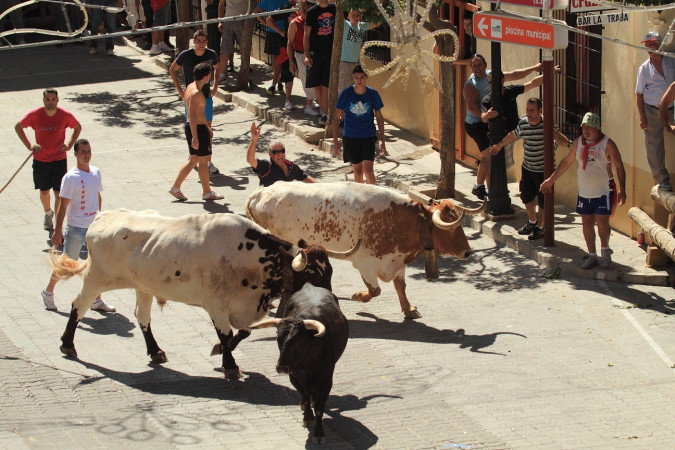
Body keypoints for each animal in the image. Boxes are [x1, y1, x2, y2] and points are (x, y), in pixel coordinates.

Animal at [52, 209, 360, 378]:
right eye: (312, 275)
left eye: (330, 272)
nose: (329, 302)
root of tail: (104, 216)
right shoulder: (216, 305)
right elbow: (225, 334)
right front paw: (230, 364)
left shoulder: (241, 307)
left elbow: (243, 332)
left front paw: (221, 352)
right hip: (96, 279)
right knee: (78, 305)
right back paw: (67, 344)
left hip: (144, 287)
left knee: (142, 316)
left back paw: (155, 351)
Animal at [246, 181, 484, 318]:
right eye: (451, 228)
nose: (467, 252)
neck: (402, 220)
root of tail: (260, 192)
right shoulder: (365, 264)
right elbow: (375, 290)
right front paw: (359, 297)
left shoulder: (397, 262)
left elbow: (401, 287)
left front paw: (408, 310)